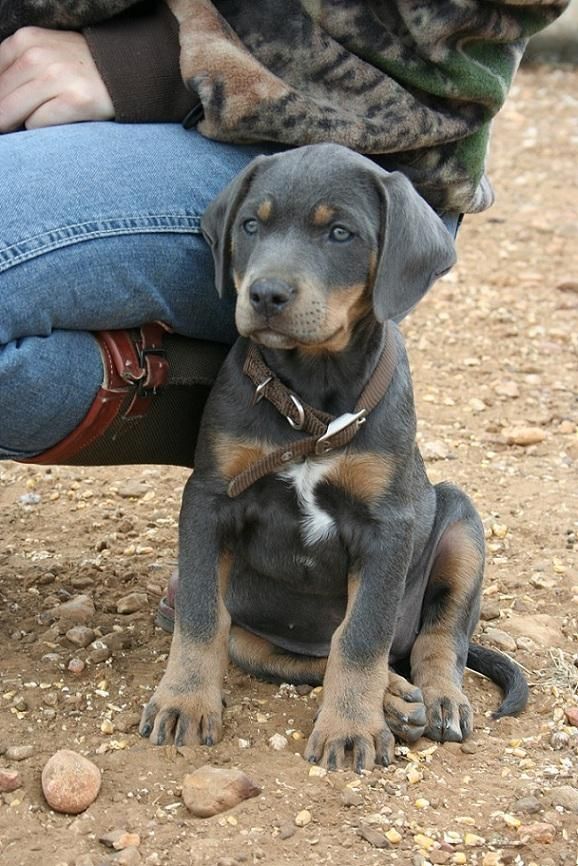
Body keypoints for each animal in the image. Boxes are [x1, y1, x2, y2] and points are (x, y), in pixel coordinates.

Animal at [141, 142, 528, 768]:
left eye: (340, 233)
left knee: (437, 636)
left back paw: (436, 699)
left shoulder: (387, 525)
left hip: (460, 522)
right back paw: (393, 697)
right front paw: (184, 702)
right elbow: (201, 615)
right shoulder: (209, 499)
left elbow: (362, 633)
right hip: (253, 631)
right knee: (293, 653)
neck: (312, 400)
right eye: (251, 226)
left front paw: (349, 729)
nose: (265, 295)